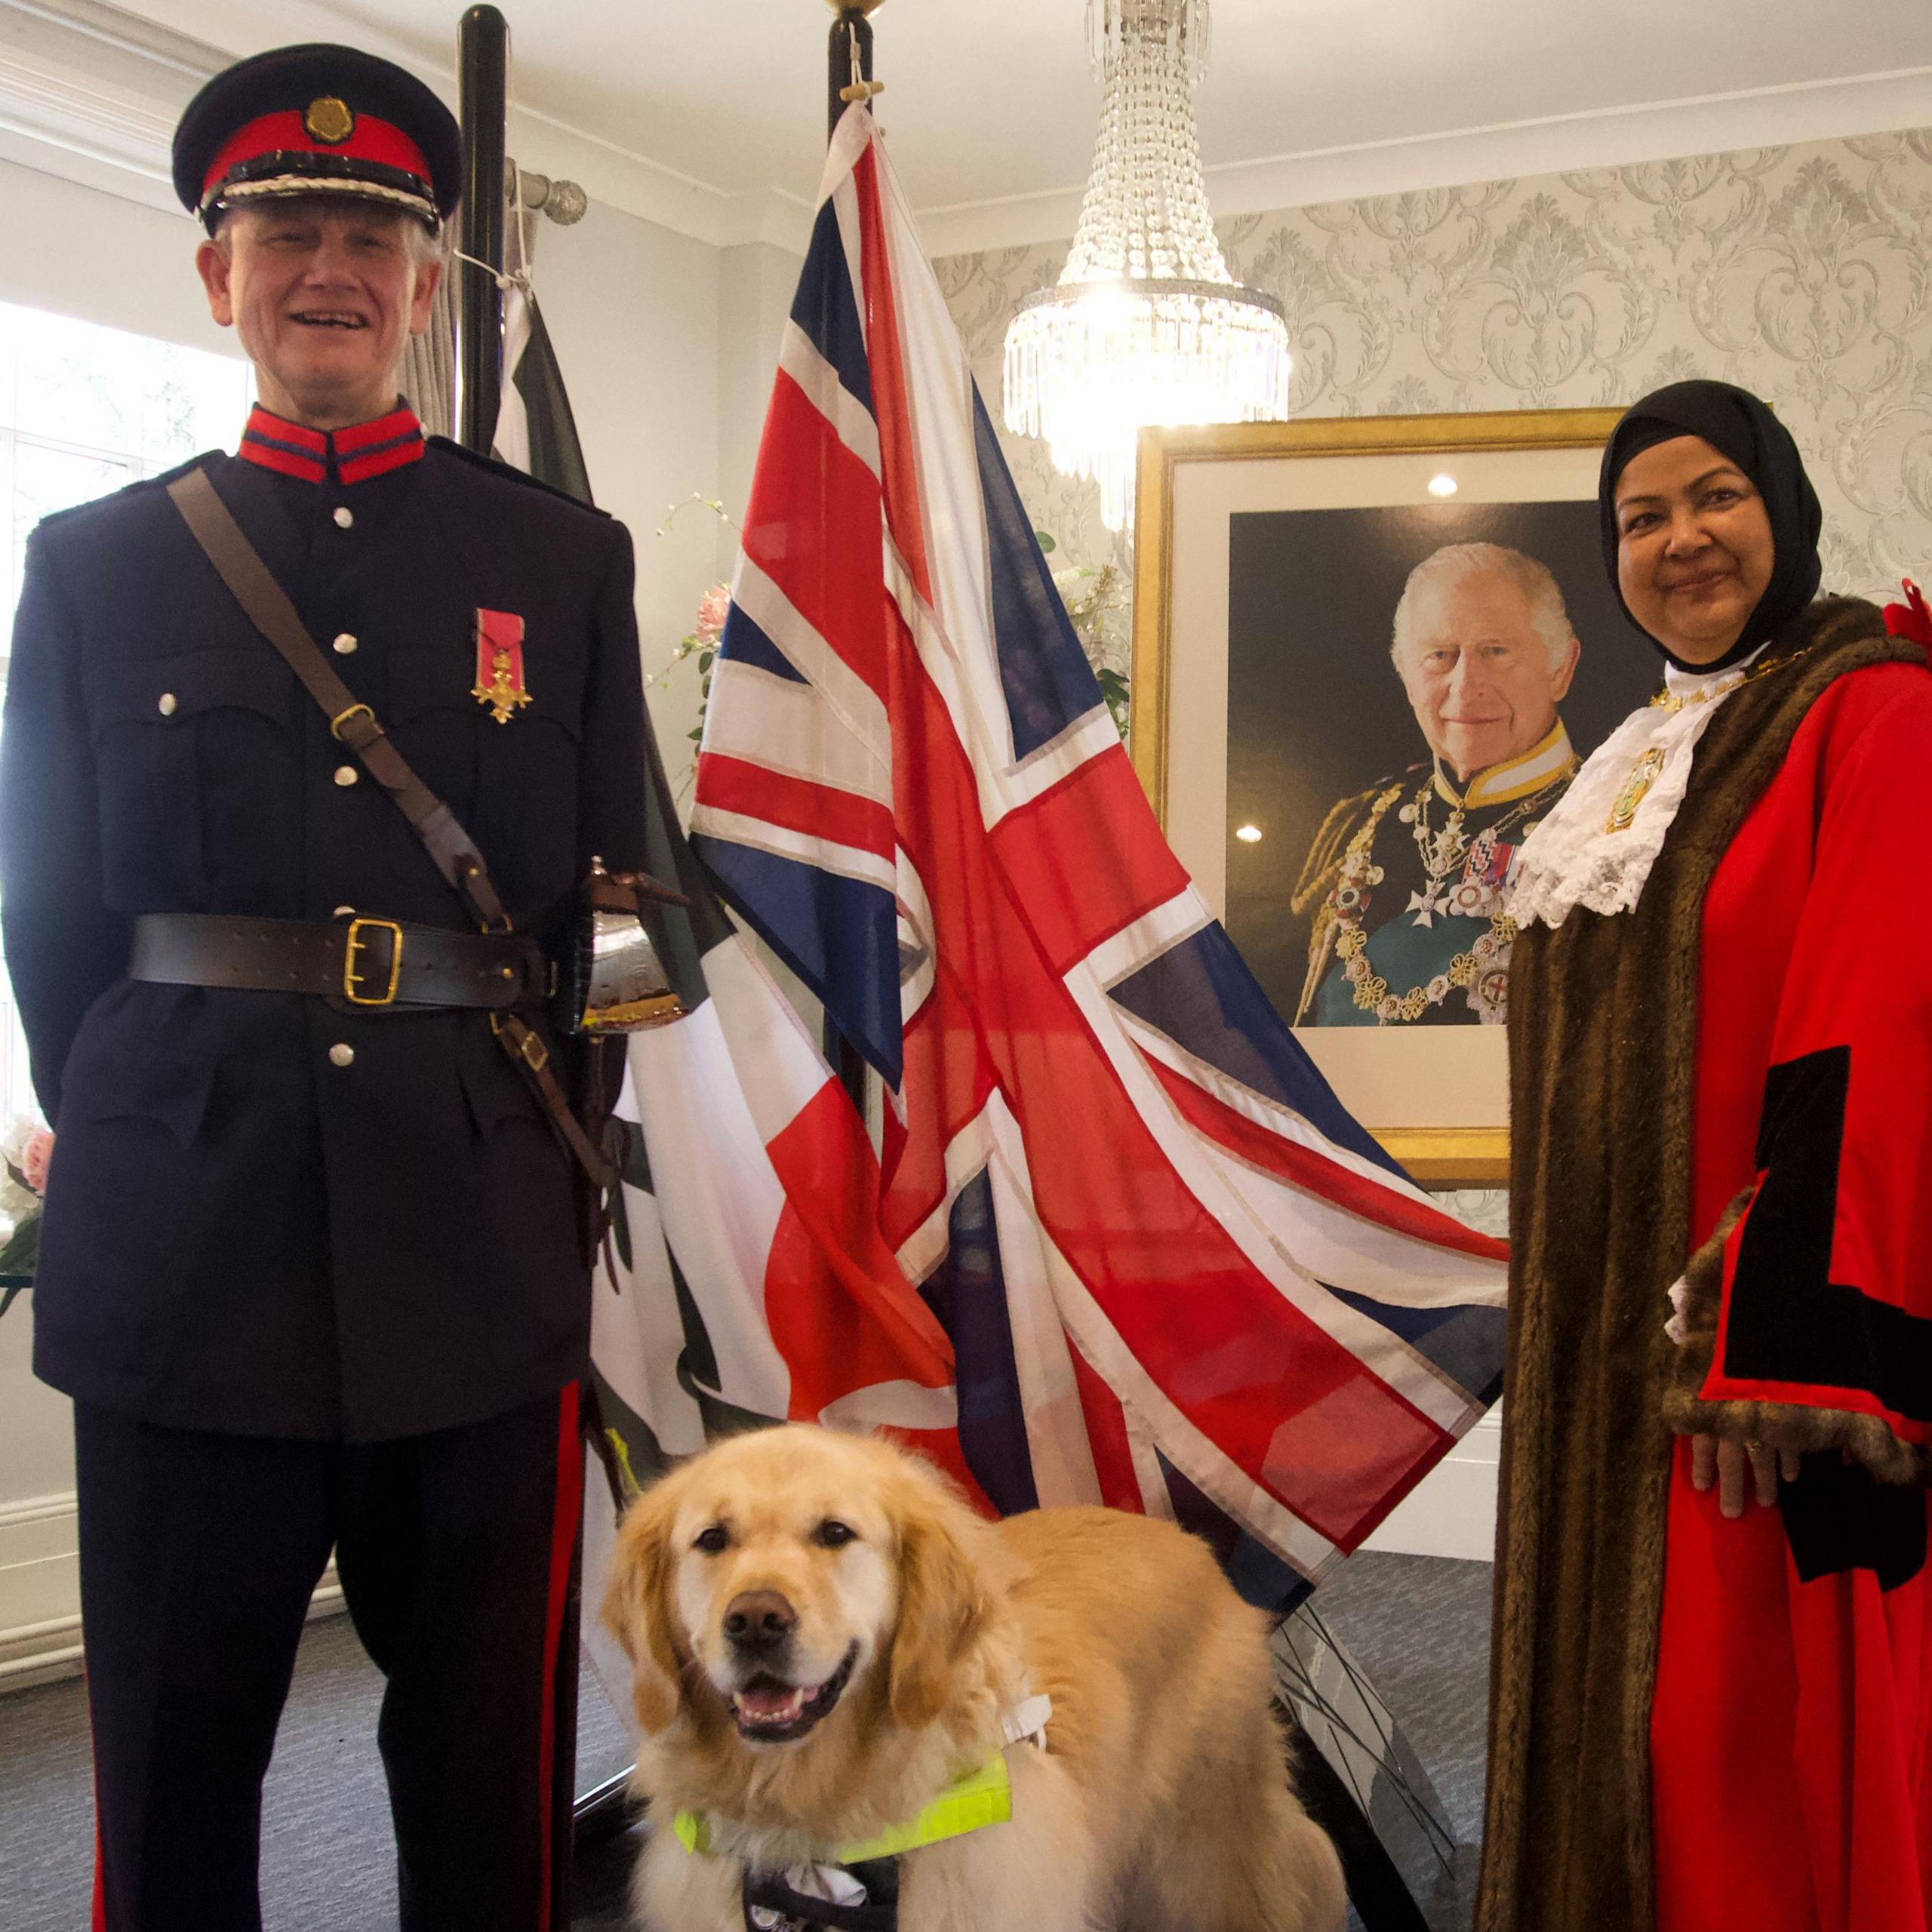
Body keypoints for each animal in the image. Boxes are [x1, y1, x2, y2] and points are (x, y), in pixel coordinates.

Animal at [602, 1422, 1344, 1932]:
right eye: (712, 1540)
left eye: (835, 1532)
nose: (755, 1620)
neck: (812, 1827)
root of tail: (1187, 1540)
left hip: (1200, 1858)